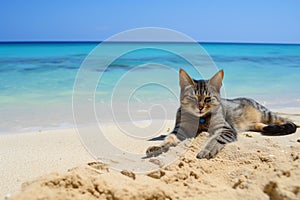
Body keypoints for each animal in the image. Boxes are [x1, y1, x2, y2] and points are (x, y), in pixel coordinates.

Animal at [146, 69, 298, 159]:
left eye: (208, 98)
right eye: (193, 98)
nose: (200, 107)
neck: (201, 120)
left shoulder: (225, 129)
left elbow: (215, 140)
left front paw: (207, 150)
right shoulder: (181, 129)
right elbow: (170, 138)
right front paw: (158, 147)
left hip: (267, 114)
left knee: (289, 122)